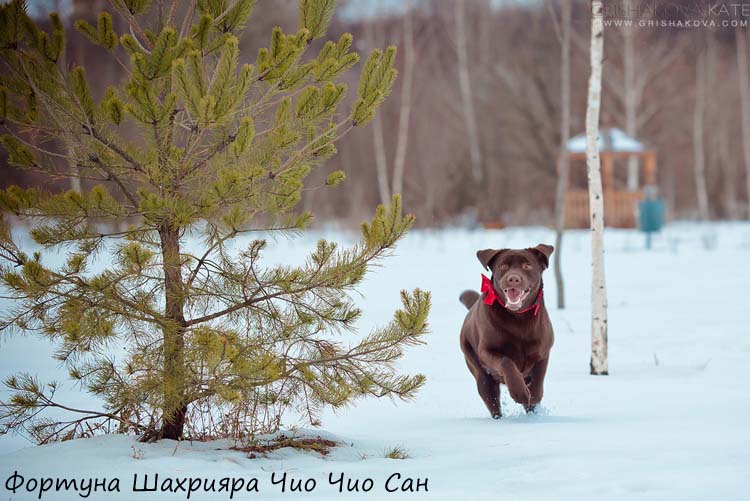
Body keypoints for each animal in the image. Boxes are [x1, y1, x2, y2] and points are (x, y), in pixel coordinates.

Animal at [462, 244, 556, 416]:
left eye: (527, 266)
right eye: (503, 266)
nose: (513, 278)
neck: (518, 318)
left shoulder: (543, 351)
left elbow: (538, 381)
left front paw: (533, 397)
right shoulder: (486, 351)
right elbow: (506, 361)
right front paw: (519, 392)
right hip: (481, 375)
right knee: (492, 402)